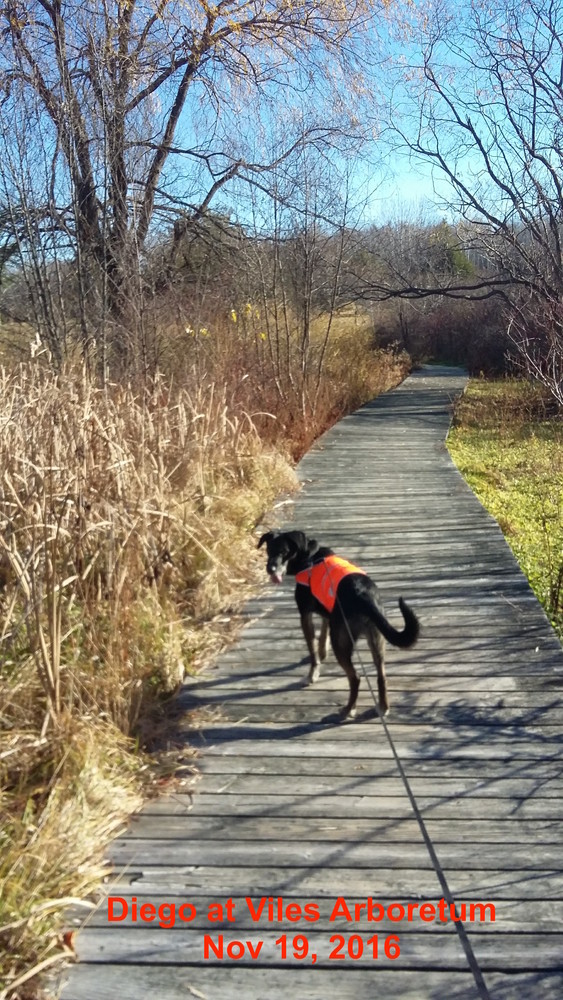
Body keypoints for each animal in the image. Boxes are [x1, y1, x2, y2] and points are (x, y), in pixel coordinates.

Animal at [258, 530, 419, 720]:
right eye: (268, 550)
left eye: (284, 551)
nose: (270, 568)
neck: (309, 557)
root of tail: (364, 595)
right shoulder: (328, 614)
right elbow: (322, 637)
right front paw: (322, 653)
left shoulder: (305, 615)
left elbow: (313, 650)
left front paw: (312, 674)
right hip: (376, 638)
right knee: (382, 675)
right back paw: (383, 707)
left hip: (341, 641)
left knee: (355, 677)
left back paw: (348, 710)